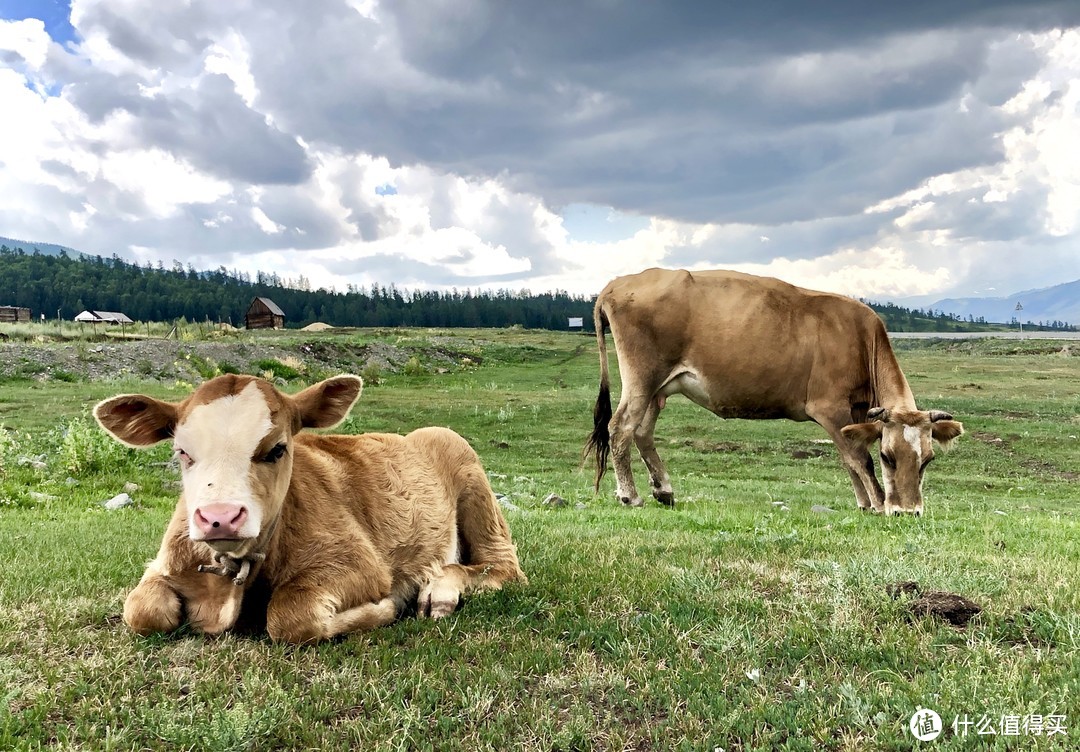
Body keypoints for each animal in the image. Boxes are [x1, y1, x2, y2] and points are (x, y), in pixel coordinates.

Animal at [95, 373, 524, 643]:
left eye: (277, 449)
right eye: (182, 452)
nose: (220, 517)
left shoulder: (361, 564)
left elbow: (291, 614)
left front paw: (385, 608)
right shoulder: (162, 565)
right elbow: (142, 610)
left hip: (473, 485)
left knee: (500, 566)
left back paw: (439, 590)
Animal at [587, 270, 967, 516]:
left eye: (927, 459)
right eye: (889, 456)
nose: (908, 511)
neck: (861, 339)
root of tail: (617, 283)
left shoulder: (856, 412)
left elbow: (850, 457)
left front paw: (864, 503)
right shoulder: (829, 407)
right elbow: (860, 458)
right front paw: (876, 503)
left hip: (658, 387)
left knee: (642, 432)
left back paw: (663, 491)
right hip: (642, 378)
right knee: (620, 427)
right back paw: (630, 496)